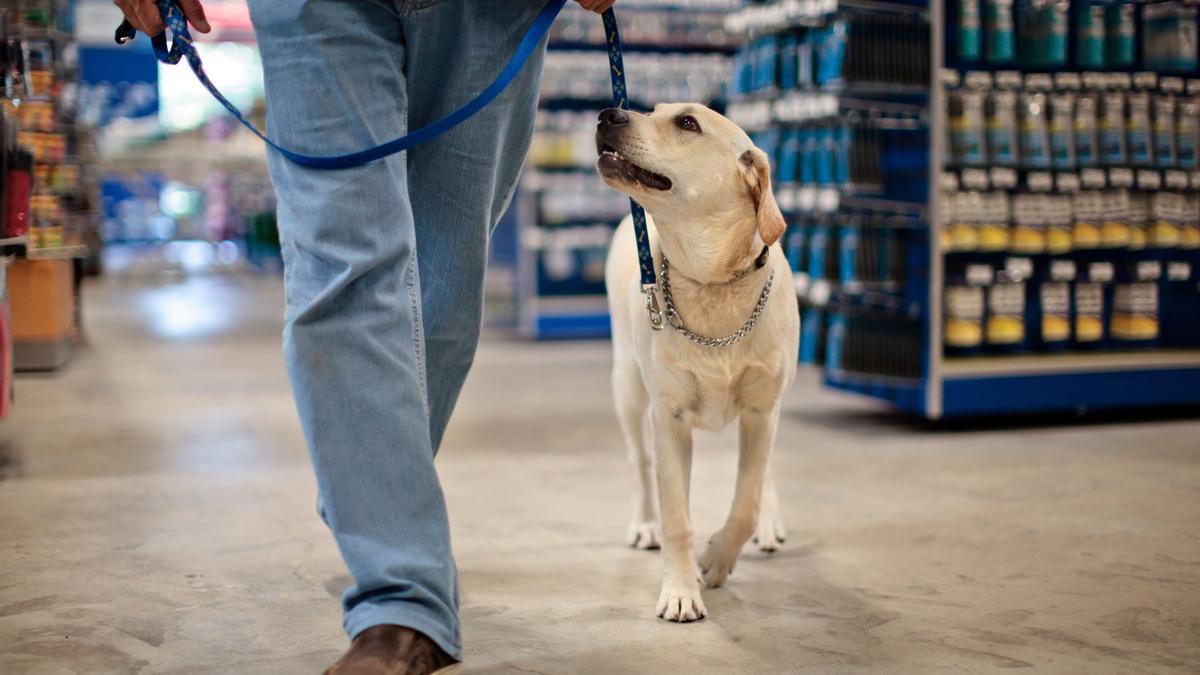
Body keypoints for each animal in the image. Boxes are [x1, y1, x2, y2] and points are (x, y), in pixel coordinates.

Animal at [597, 103, 796, 619]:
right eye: (653, 111)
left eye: (687, 123)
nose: (608, 113)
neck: (712, 284)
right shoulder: (669, 418)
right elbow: (677, 518)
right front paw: (682, 590)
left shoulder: (762, 409)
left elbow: (746, 501)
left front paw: (719, 558)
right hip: (627, 387)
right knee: (638, 463)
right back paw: (644, 524)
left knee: (765, 470)